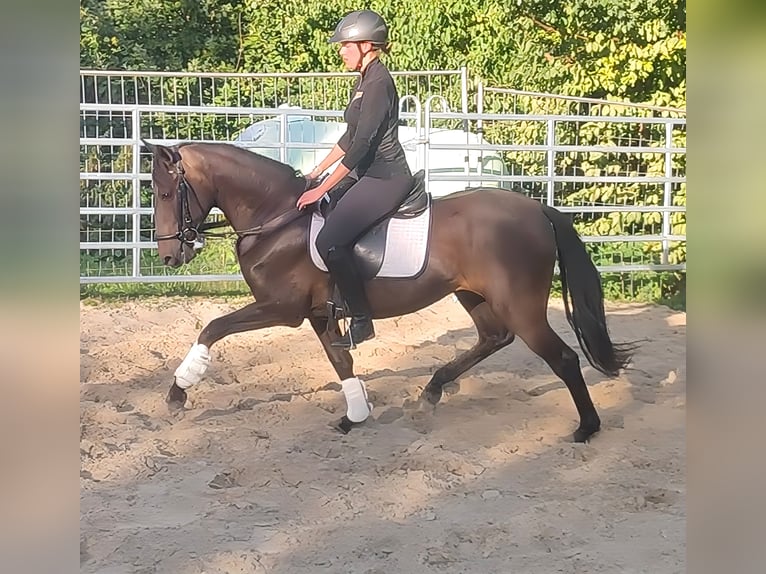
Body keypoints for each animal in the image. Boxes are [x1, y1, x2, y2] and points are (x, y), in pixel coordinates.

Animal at [143, 139, 633, 442]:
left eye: (166, 193)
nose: (168, 256)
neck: (277, 219)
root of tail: (537, 209)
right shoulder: (318, 314)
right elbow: (340, 361)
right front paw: (355, 415)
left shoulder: (281, 308)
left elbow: (212, 327)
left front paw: (178, 392)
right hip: (473, 296)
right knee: (494, 338)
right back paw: (431, 392)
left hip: (520, 304)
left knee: (562, 358)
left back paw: (587, 428)